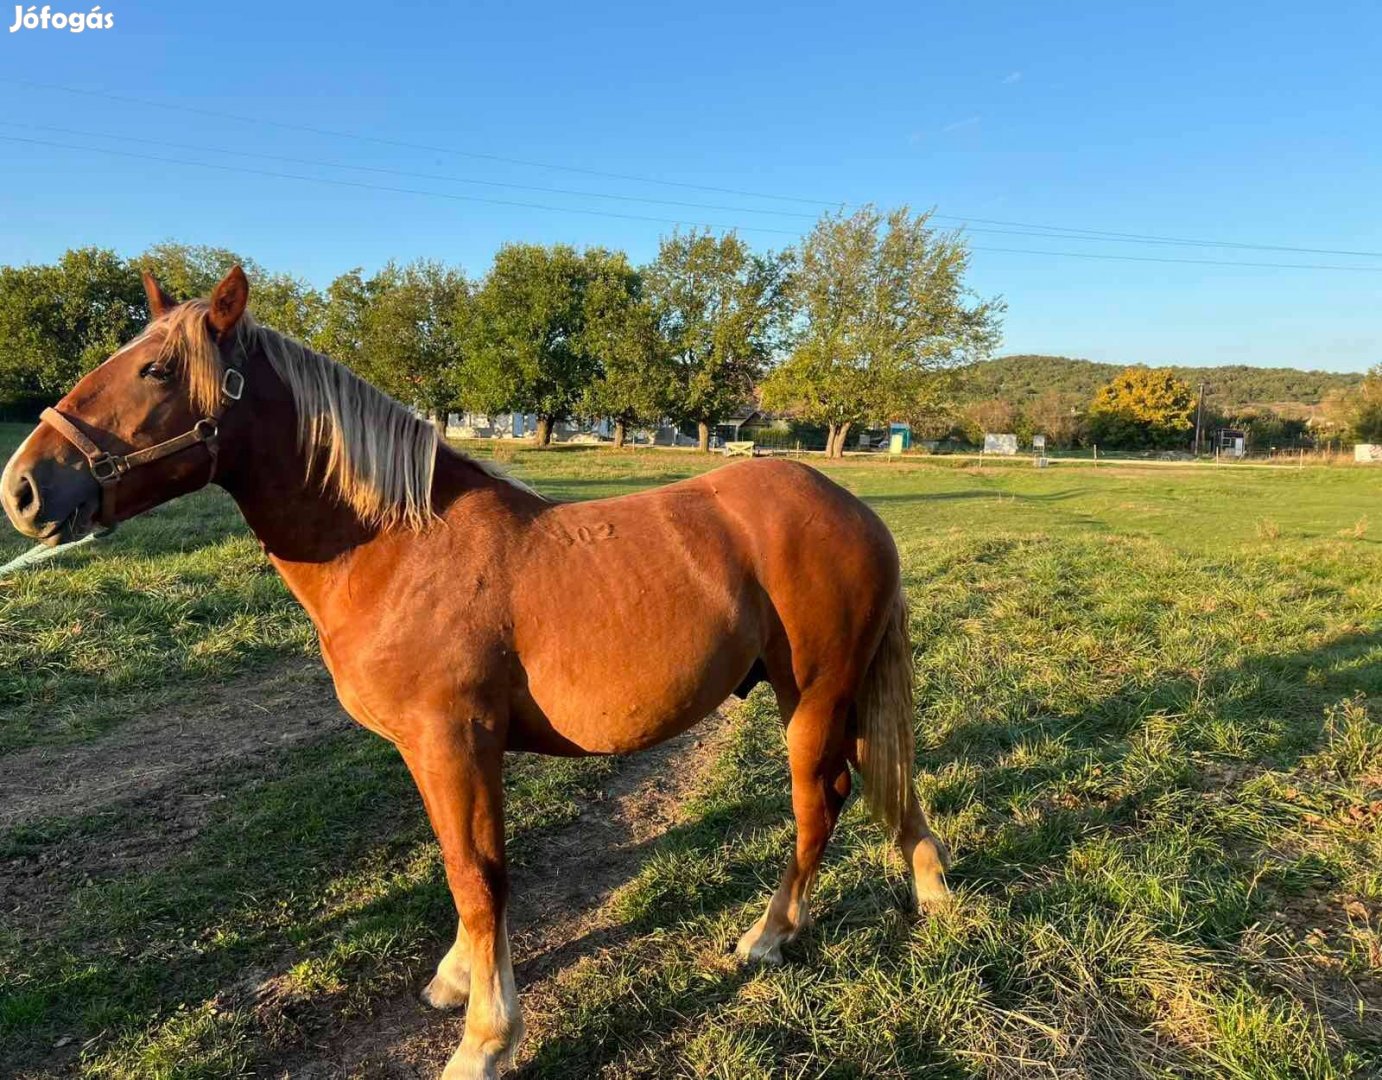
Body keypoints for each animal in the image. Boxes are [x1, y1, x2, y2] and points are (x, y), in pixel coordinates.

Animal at [0, 266, 950, 1078]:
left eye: (157, 369)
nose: (23, 490)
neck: (395, 546)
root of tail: (855, 511)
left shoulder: (456, 742)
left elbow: (479, 876)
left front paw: (485, 1038)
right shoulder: (434, 753)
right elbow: (464, 870)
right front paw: (460, 979)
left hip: (812, 698)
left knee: (821, 804)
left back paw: (770, 935)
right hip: (834, 696)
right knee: (885, 780)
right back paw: (932, 888)